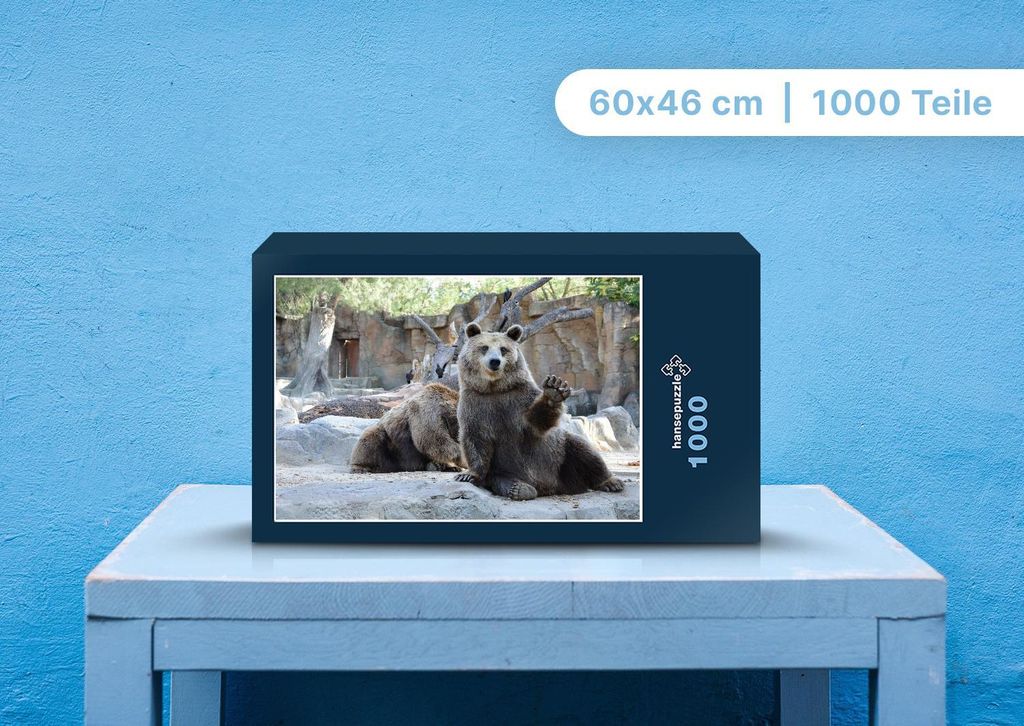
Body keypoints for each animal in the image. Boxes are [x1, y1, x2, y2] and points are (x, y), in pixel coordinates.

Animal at [454, 322, 625, 500]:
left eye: (503, 349)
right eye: (484, 347)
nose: (495, 361)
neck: (494, 388)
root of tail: (550, 487)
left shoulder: (519, 399)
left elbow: (536, 422)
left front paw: (554, 389)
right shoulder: (476, 404)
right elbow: (475, 439)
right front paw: (467, 475)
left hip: (560, 459)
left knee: (583, 450)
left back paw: (611, 482)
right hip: (504, 468)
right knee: (500, 478)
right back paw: (518, 488)